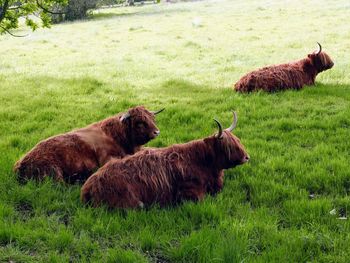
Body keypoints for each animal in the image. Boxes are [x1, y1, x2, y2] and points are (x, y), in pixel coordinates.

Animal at [14, 105, 165, 184]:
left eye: (152, 118)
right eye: (140, 122)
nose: (157, 132)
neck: (115, 134)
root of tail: (21, 163)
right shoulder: (108, 158)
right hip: (54, 172)